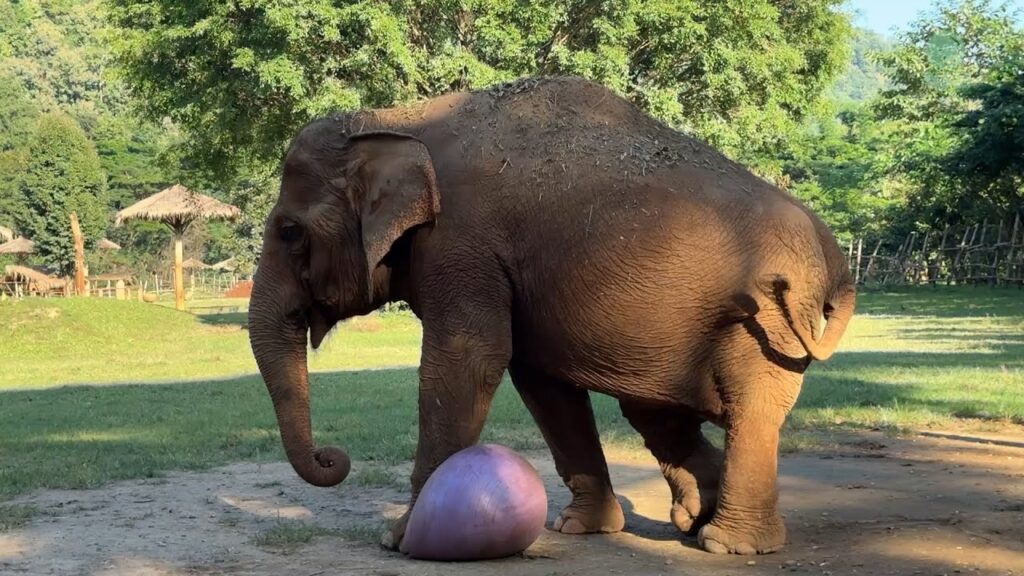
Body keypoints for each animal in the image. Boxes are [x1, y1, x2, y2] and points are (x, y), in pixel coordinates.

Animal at [248, 76, 856, 556]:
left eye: (289, 232)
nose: (334, 457)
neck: (395, 118)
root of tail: (835, 257)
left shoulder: (461, 242)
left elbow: (470, 359)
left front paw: (399, 539)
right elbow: (539, 379)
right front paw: (580, 530)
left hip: (768, 322)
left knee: (749, 410)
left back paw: (728, 544)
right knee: (653, 412)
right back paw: (691, 518)